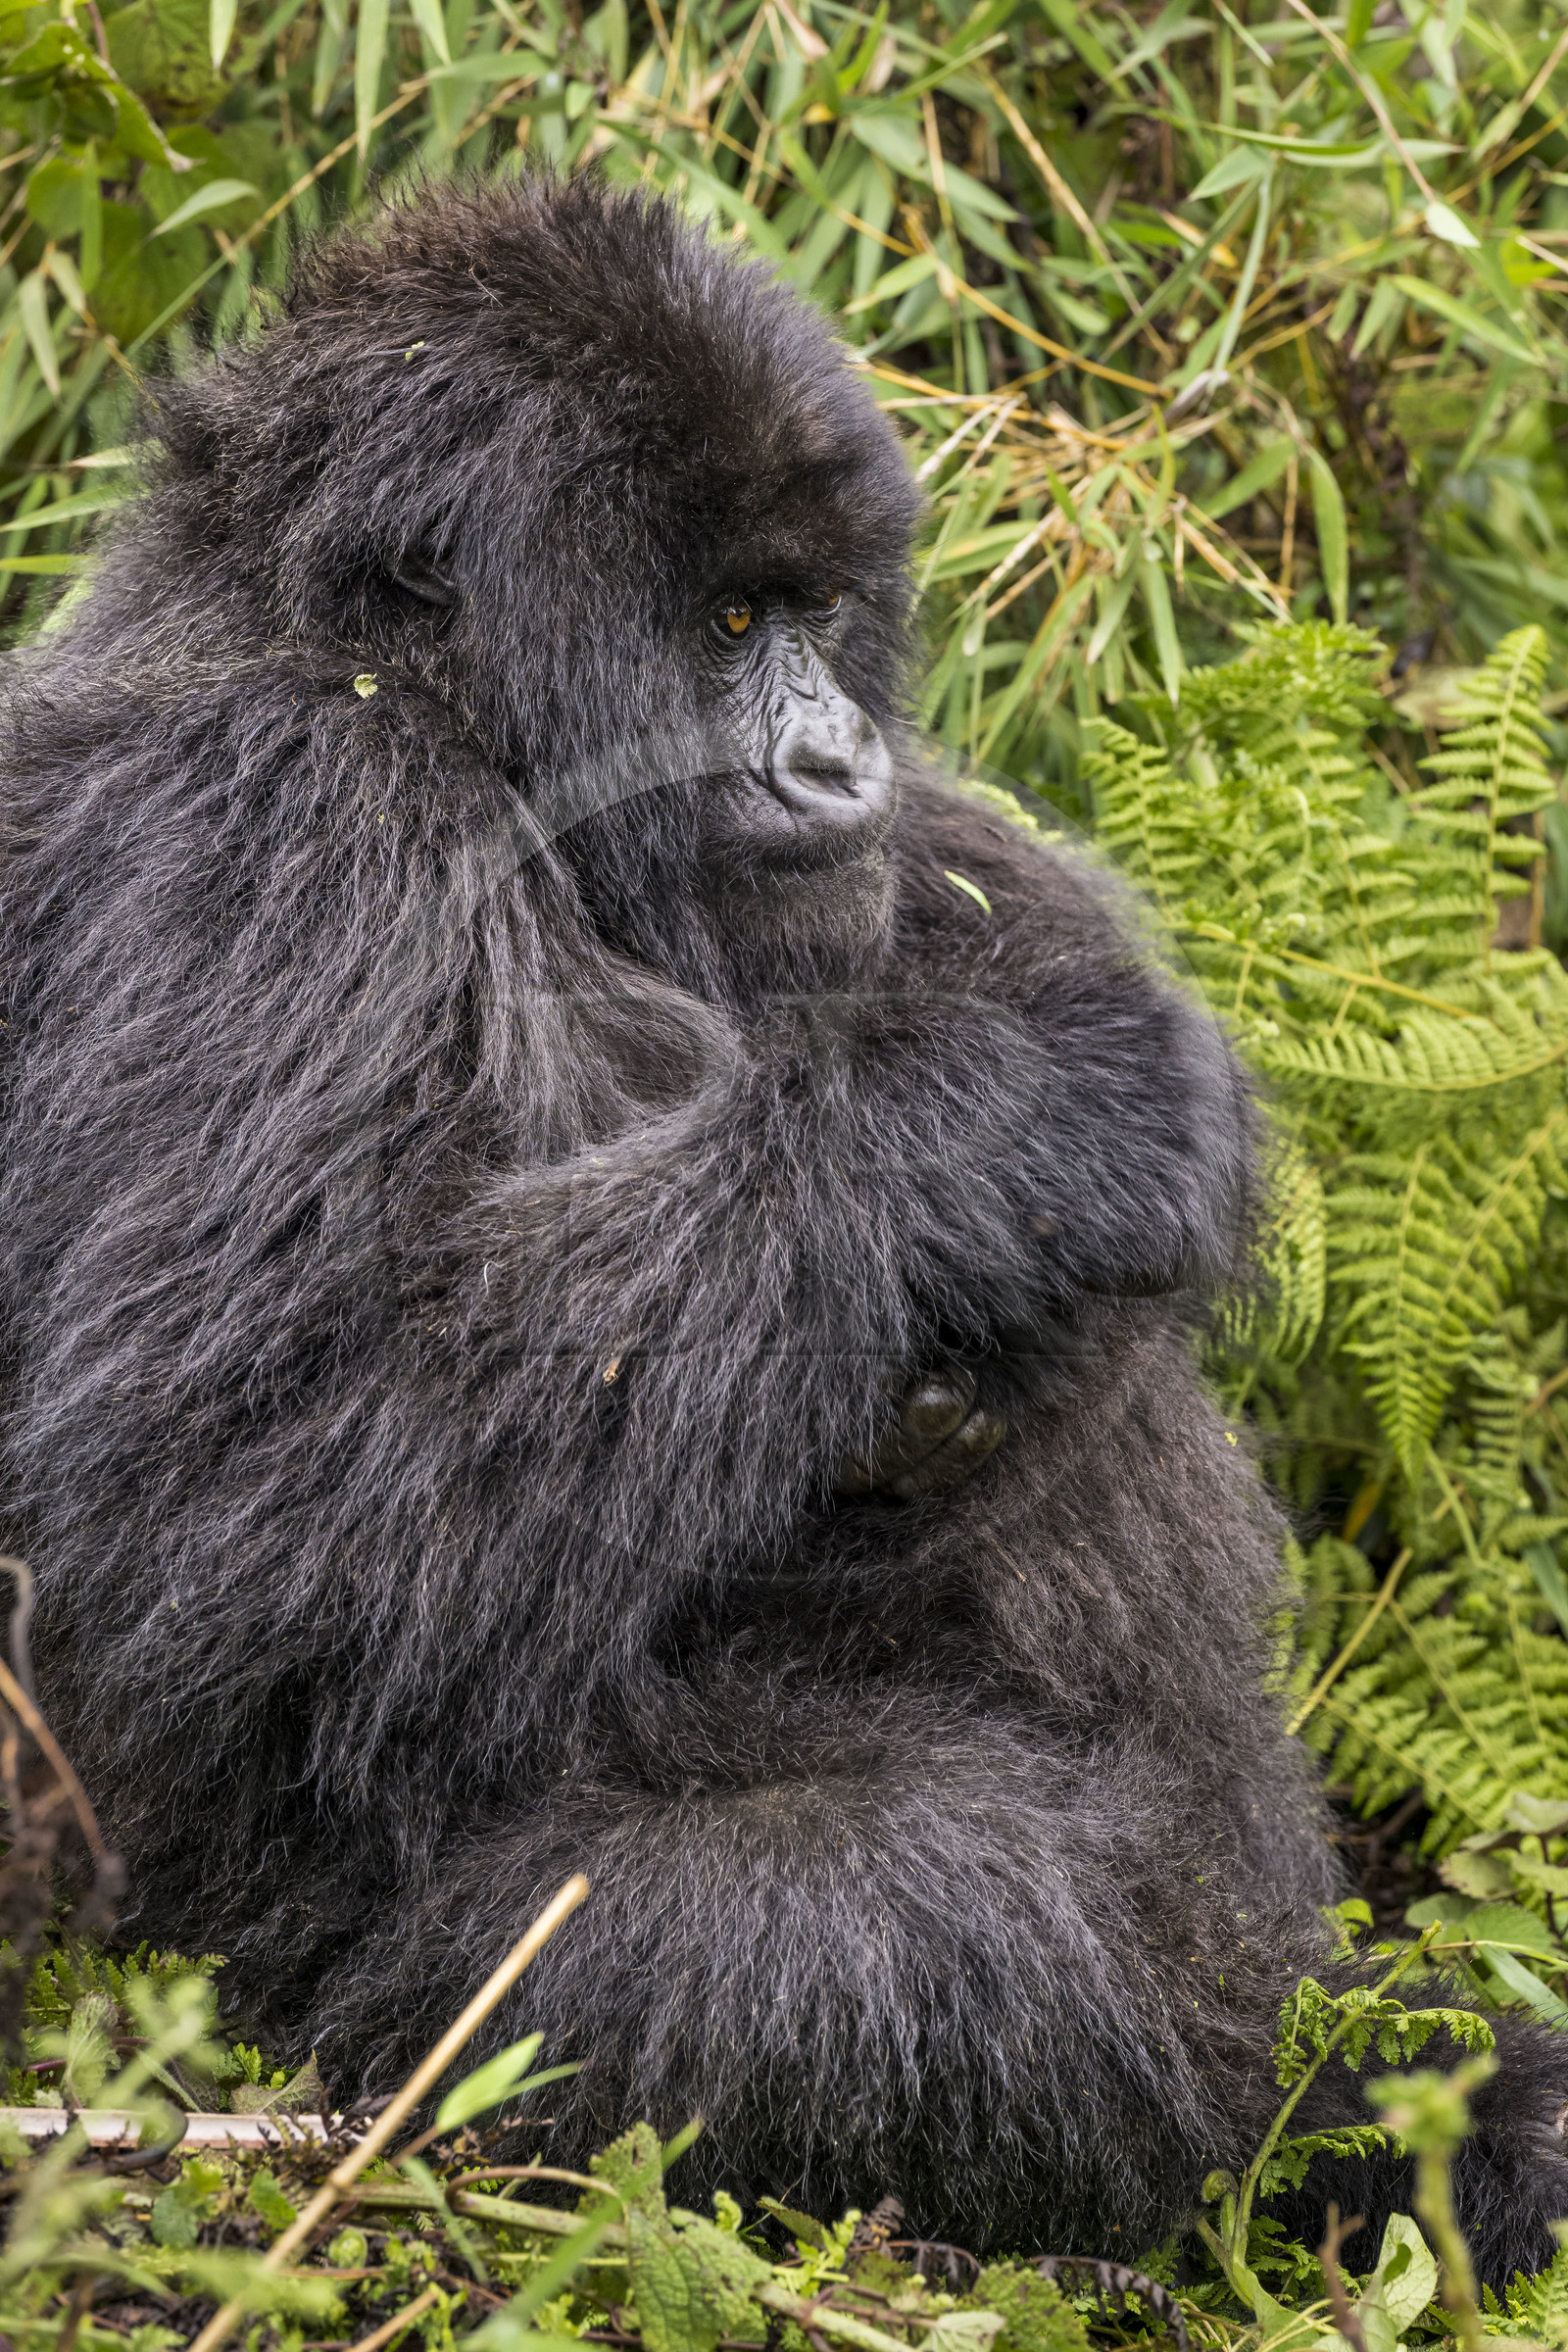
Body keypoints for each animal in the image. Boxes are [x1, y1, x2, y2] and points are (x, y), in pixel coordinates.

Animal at [0, 174, 1563, 2279]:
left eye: (820, 609)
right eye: (729, 622)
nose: (841, 761)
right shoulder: (252, 821)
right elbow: (240, 1544)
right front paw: (1005, 1111)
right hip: (272, 2002)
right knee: (871, 1911)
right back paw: (1319, 2113)